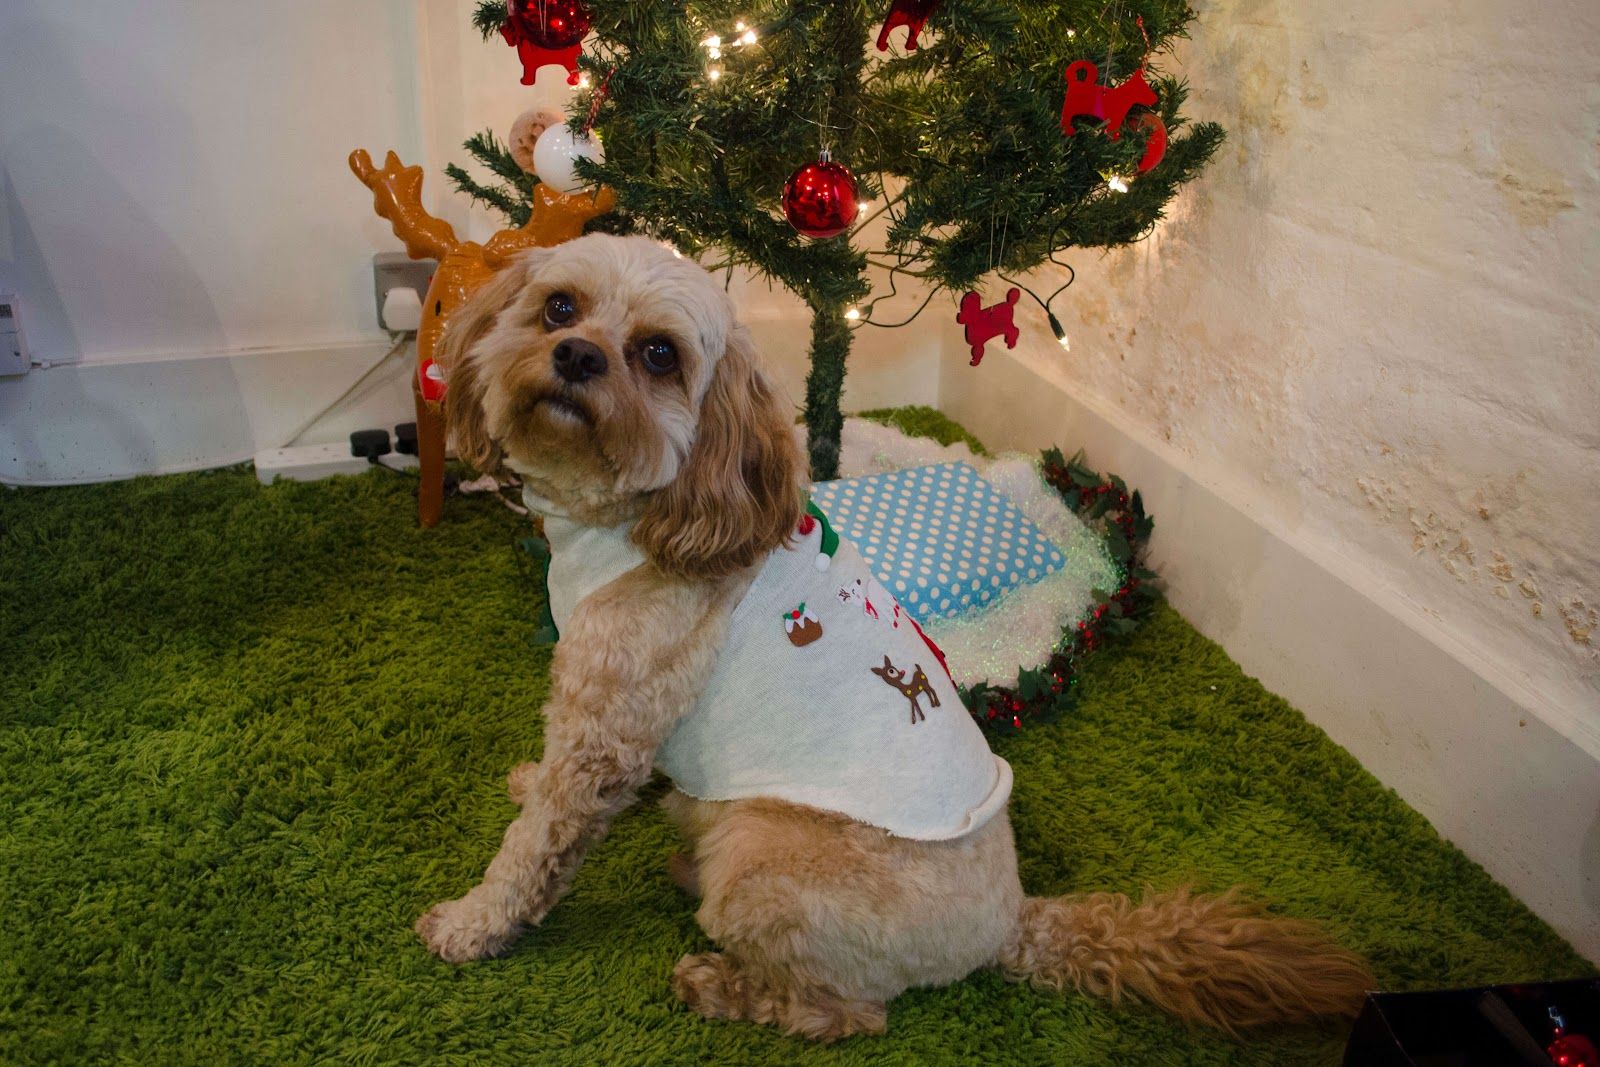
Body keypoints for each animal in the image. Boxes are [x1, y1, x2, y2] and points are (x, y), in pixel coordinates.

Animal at [414, 234, 1372, 1040]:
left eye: (658, 354)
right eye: (559, 307)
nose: (576, 356)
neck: (640, 519)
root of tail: (1014, 920)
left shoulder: (607, 724)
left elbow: (535, 848)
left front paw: (469, 924)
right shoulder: (603, 716)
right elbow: (554, 793)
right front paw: (527, 784)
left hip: (762, 858)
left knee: (849, 1012)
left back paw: (718, 981)